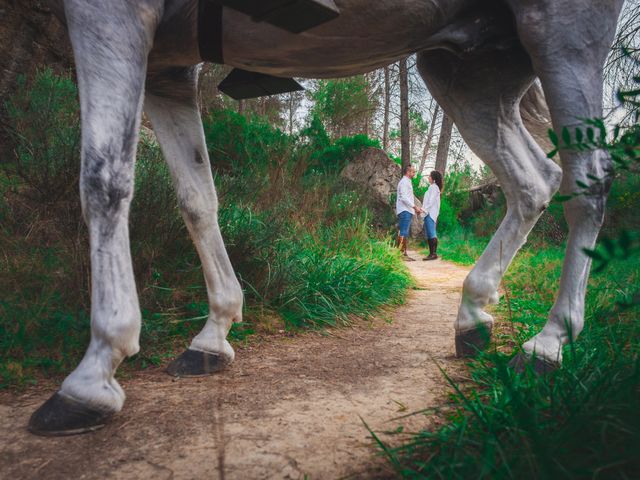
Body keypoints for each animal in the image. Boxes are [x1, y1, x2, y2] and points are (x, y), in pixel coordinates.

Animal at [30, 0, 624, 436]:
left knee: (588, 183)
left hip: (560, 32)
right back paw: (474, 315)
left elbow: (103, 181)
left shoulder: (115, 15)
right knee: (533, 180)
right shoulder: (169, 65)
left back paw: (549, 343)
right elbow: (197, 197)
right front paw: (213, 334)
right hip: (469, 69)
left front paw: (93, 372)